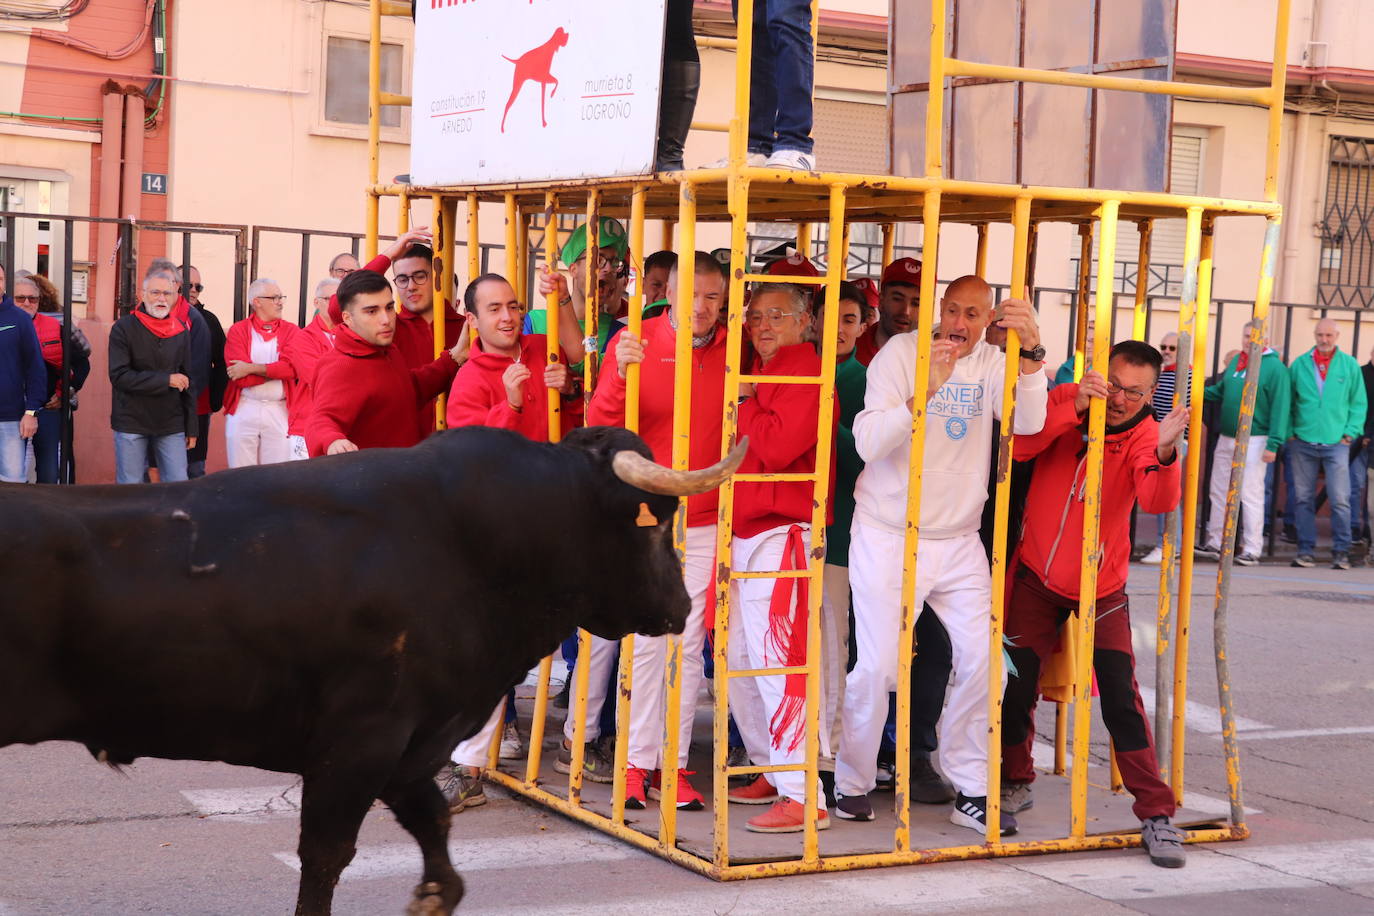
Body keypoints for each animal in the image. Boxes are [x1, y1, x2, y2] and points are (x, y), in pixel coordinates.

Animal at [2, 425, 741, 911]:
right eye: (656, 524)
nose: (681, 606)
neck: (472, 544)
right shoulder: (361, 741)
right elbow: (325, 857)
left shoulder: (411, 744)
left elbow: (432, 824)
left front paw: (435, 893)